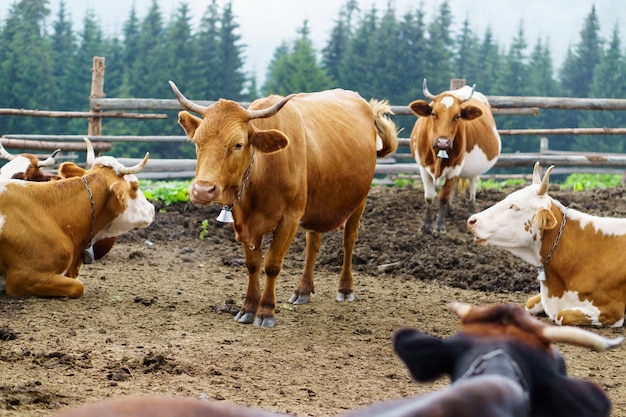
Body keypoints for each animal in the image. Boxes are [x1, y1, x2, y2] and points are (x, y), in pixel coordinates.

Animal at [168, 82, 398, 328]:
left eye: (238, 144)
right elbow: (253, 265)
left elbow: (272, 264)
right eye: (197, 142)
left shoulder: (290, 218)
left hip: (359, 201)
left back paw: (345, 288)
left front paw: (266, 311)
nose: (202, 190)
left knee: (349, 240)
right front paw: (248, 308)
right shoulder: (243, 222)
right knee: (313, 243)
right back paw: (303, 290)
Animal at [408, 79, 500, 234]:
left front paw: (439, 226)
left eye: (457, 116)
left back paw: (471, 210)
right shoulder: (423, 167)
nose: (443, 142)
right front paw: (426, 224)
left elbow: (443, 197)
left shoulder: (455, 168)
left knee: (472, 187)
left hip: (475, 169)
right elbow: (429, 197)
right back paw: (448, 212)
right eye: (433, 113)